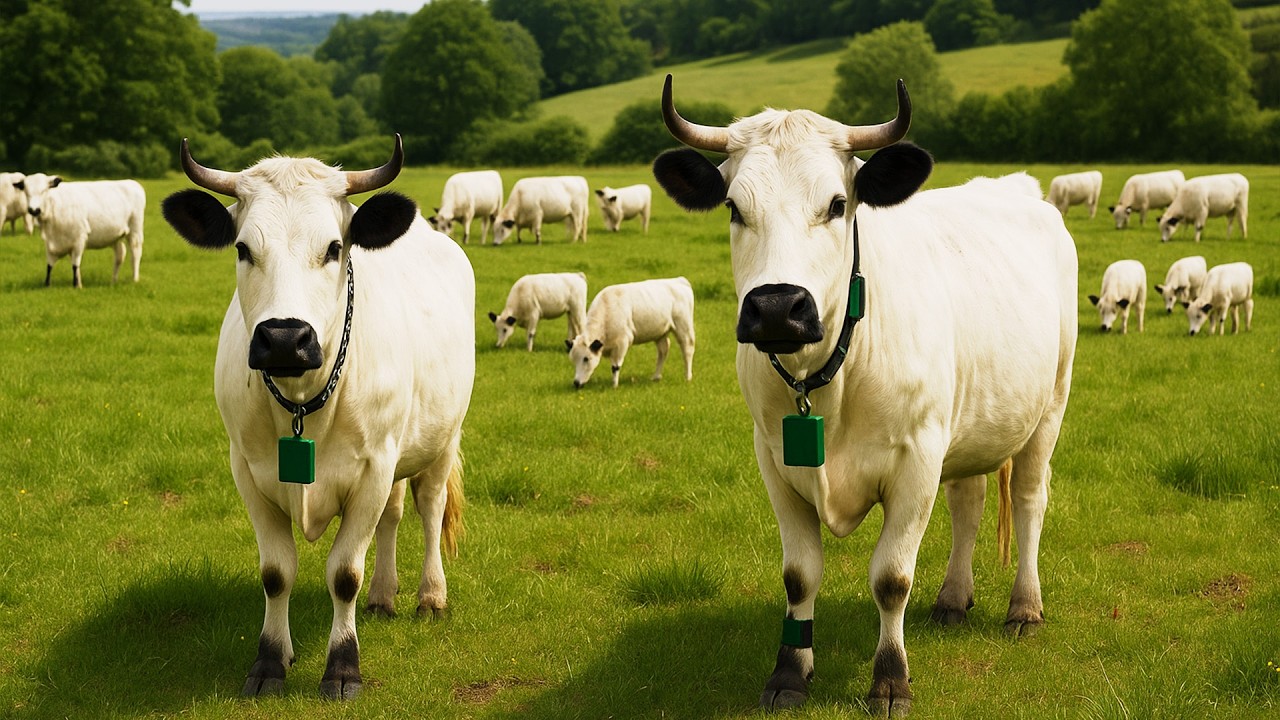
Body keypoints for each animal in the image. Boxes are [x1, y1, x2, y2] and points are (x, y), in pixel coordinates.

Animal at [160, 136, 474, 700]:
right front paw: (270, 660)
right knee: (393, 516)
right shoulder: (248, 470)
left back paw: (430, 596)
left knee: (430, 507)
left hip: (443, 438)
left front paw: (343, 667)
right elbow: (276, 572)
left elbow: (344, 572)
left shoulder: (371, 470)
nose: (285, 338)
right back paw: (384, 595)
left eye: (332, 248)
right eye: (243, 249)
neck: (302, 403)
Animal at [566, 277, 695, 389]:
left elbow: (615, 366)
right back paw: (656, 376)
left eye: (586, 359)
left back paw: (687, 377)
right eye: (573, 360)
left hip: (683, 325)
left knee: (687, 349)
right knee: (663, 351)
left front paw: (614, 386)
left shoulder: (622, 341)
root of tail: (679, 280)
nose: (576, 383)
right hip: (660, 333)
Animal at [652, 74, 1077, 714]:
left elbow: (891, 578)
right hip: (970, 422)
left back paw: (1024, 608)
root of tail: (1016, 187)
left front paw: (890, 680)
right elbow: (800, 574)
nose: (776, 307)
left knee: (1029, 500)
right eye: (733, 207)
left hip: (1049, 405)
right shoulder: (774, 462)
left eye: (836, 204)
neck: (825, 381)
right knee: (969, 502)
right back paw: (953, 599)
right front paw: (789, 673)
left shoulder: (917, 459)